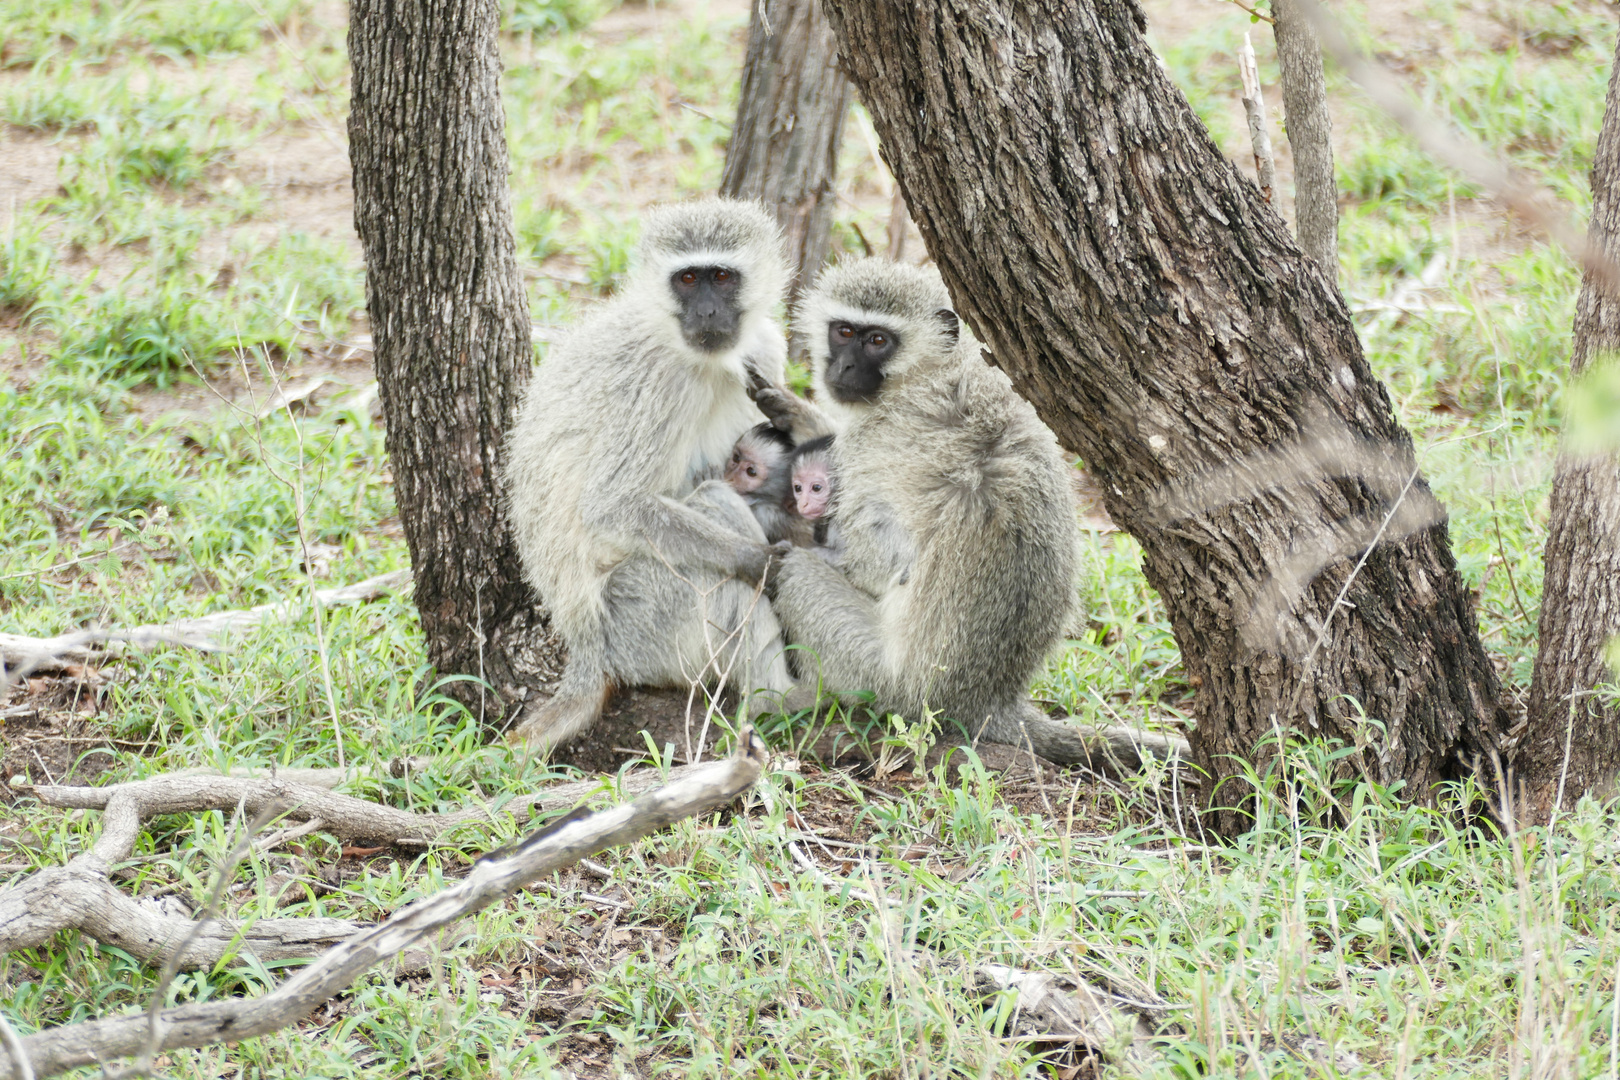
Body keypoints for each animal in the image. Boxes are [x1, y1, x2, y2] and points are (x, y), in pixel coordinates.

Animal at [505, 196, 797, 751]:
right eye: (686, 279)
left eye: (721, 276)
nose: (706, 311)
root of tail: (587, 647)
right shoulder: (659, 383)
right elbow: (611, 506)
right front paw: (760, 560)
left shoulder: (765, 351)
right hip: (643, 622)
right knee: (715, 528)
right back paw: (786, 699)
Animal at [771, 260, 1179, 767]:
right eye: (844, 331)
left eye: (878, 340)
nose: (841, 367)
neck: (934, 371)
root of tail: (987, 699)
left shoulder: (869, 446)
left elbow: (875, 563)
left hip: (879, 680)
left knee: (797, 575)